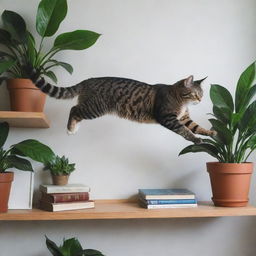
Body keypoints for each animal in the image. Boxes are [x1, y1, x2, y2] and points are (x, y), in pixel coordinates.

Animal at [30, 71, 214, 144]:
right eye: (195, 94)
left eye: (202, 94)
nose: (200, 100)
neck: (182, 102)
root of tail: (88, 80)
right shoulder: (168, 117)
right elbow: (185, 130)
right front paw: (196, 139)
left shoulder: (184, 117)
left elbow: (196, 126)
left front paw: (210, 133)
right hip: (95, 108)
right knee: (74, 110)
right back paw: (70, 129)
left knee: (76, 109)